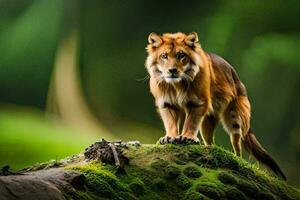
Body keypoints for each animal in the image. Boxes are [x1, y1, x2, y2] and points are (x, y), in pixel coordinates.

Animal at [145, 32, 286, 180]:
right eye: (164, 56)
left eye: (181, 55)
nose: (172, 70)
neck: (176, 85)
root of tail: (237, 77)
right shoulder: (167, 104)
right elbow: (171, 123)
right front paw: (169, 138)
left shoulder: (198, 103)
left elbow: (191, 123)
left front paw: (187, 137)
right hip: (207, 122)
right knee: (210, 141)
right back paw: (207, 148)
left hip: (234, 116)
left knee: (237, 143)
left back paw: (237, 159)